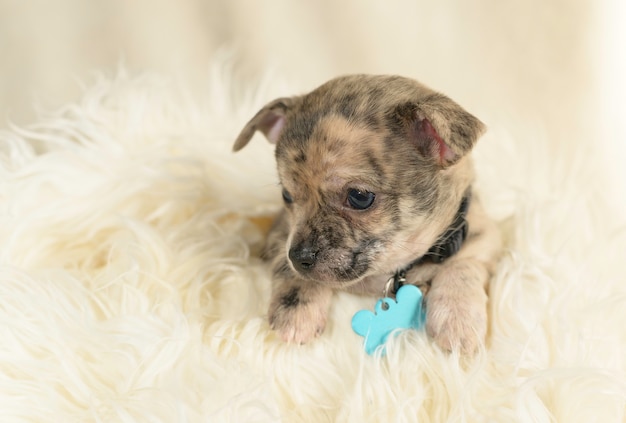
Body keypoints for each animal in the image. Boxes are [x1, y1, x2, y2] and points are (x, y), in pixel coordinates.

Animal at [232, 75, 500, 354]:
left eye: (359, 197)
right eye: (286, 195)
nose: (299, 257)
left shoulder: (483, 238)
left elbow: (463, 265)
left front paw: (458, 317)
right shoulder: (281, 234)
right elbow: (292, 272)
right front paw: (296, 312)